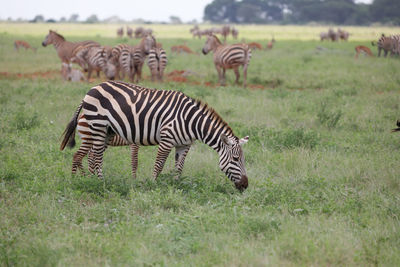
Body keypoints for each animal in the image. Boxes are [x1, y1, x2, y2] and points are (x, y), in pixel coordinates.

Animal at [61, 80, 250, 192]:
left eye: (243, 160)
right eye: (235, 159)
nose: (245, 185)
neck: (190, 122)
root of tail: (93, 87)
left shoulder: (184, 144)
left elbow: (179, 167)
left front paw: (176, 186)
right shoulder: (167, 139)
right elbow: (159, 165)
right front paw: (152, 185)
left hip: (106, 131)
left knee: (92, 156)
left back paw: (92, 181)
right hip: (98, 126)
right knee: (95, 157)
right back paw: (100, 183)